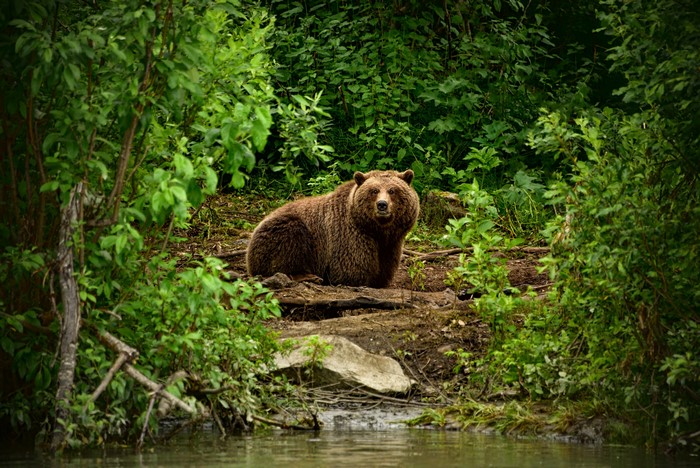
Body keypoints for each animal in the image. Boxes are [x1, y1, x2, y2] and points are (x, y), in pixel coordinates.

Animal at [246, 169, 419, 288]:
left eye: (392, 190)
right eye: (374, 190)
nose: (382, 205)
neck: (376, 229)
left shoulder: (391, 243)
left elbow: (385, 267)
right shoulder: (349, 235)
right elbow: (351, 269)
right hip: (283, 231)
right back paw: (309, 276)